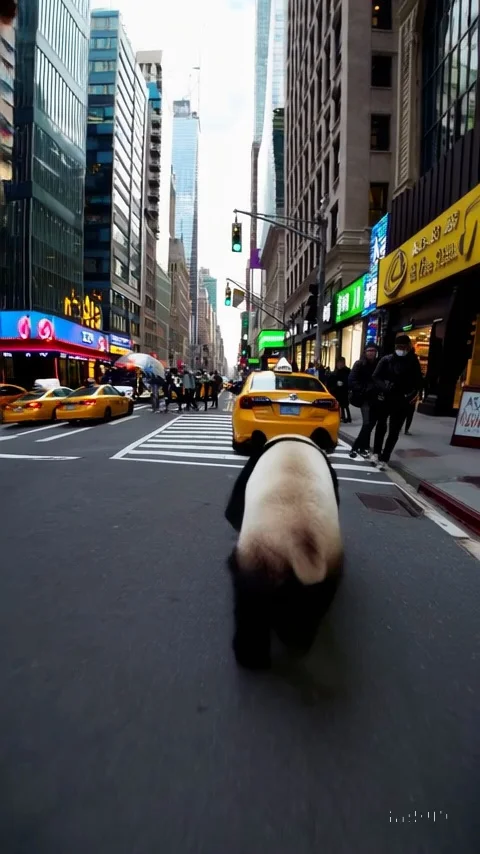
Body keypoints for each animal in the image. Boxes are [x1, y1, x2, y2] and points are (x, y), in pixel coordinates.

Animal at [224, 434, 344, 670]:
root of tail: (301, 550)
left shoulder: (252, 465)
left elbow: (234, 510)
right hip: (326, 572)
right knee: (306, 611)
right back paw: (297, 640)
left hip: (260, 556)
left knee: (251, 605)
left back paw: (250, 657)